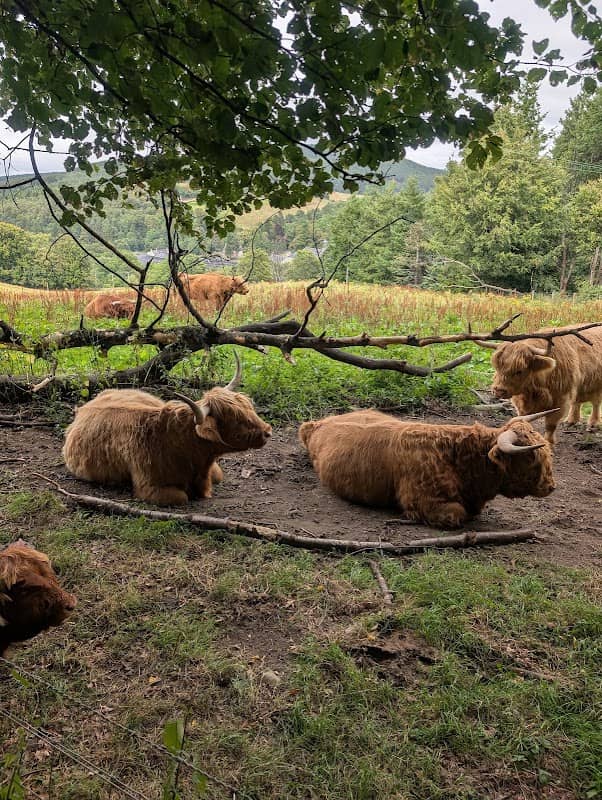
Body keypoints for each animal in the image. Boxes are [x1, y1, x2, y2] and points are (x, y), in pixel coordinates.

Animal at [62, 353, 272, 505]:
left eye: (248, 406)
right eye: (235, 418)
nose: (267, 431)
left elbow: (218, 475)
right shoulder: (149, 487)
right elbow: (182, 497)